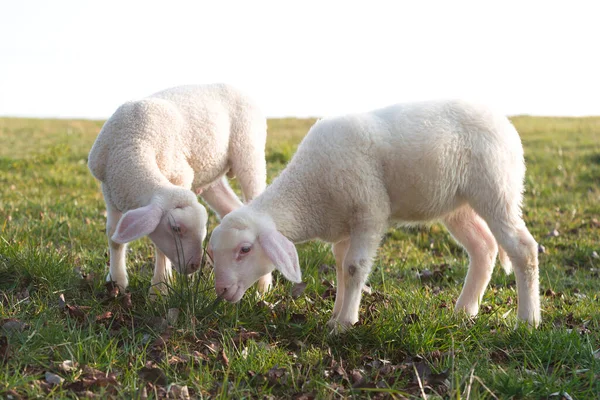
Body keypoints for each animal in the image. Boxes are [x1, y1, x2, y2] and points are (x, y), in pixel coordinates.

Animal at [88, 84, 272, 296]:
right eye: (176, 228)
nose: (194, 265)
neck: (133, 143)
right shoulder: (110, 190)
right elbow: (114, 238)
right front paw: (116, 281)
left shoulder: (179, 175)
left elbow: (159, 249)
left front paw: (159, 289)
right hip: (210, 173)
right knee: (230, 208)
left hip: (249, 152)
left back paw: (263, 287)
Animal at [209, 99, 540, 332]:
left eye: (244, 249)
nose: (221, 290)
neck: (309, 192)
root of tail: (503, 122)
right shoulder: (344, 227)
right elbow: (341, 268)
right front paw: (335, 315)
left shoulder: (369, 212)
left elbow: (354, 268)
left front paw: (345, 324)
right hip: (458, 206)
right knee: (483, 247)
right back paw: (464, 311)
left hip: (496, 188)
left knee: (522, 248)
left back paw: (528, 320)